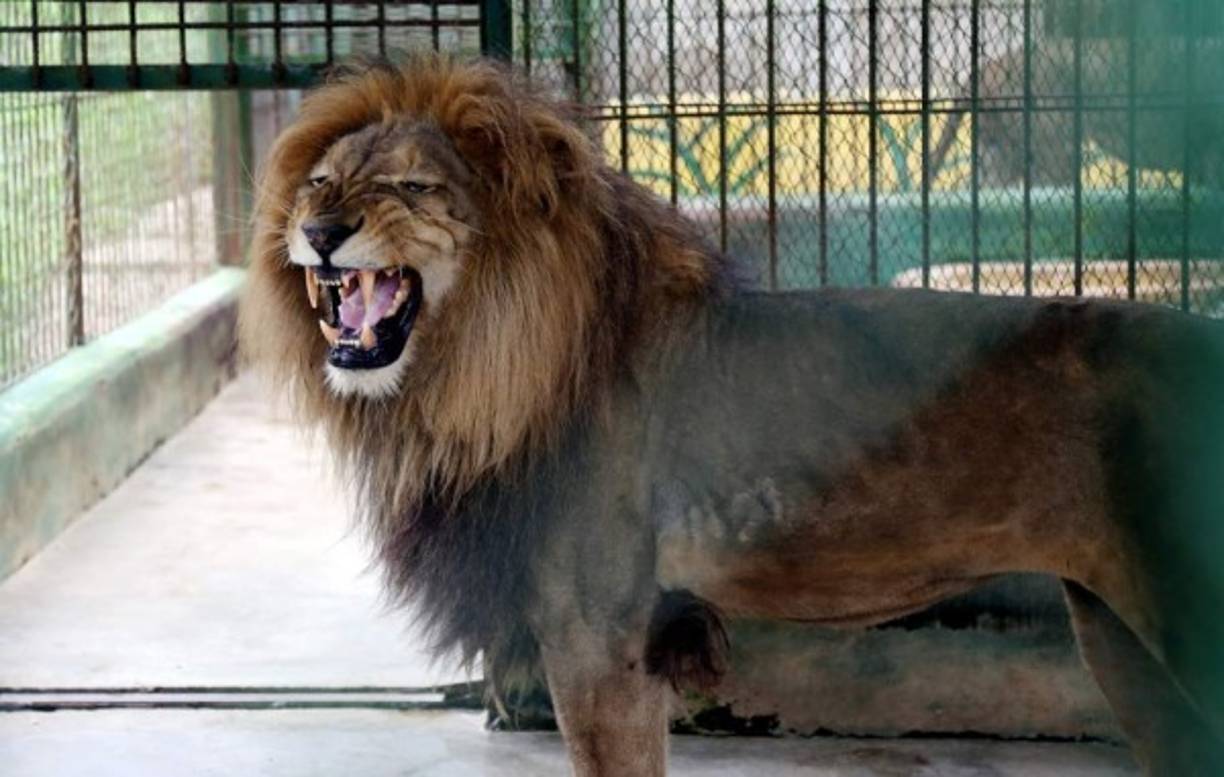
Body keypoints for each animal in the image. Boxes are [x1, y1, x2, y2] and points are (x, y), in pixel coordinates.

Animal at [240, 56, 1224, 776]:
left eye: (410, 186)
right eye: (319, 181)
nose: (318, 231)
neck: (476, 367)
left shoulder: (600, 633)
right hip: (1118, 641)